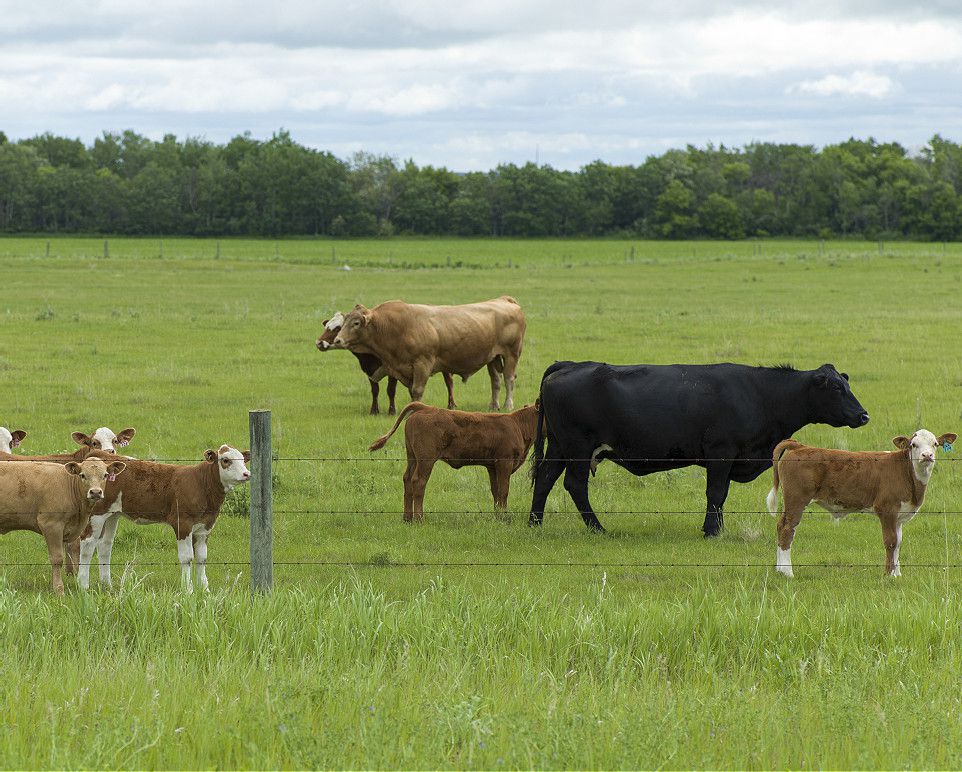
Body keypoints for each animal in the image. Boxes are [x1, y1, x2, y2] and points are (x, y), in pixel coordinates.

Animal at [0, 458, 126, 592]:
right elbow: (57, 558)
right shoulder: (51, 525)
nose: (96, 492)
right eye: (82, 475)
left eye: (105, 475)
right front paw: (58, 588)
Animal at [78, 446, 249, 592]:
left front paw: (204, 590)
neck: (200, 484)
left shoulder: (205, 526)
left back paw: (106, 585)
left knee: (104, 545)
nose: (247, 474)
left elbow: (202, 557)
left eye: (243, 459)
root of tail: (98, 454)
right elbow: (186, 557)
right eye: (226, 460)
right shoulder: (182, 523)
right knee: (88, 543)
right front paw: (188, 590)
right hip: (97, 513)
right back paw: (83, 586)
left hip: (112, 514)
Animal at [330, 296, 524, 414]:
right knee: (496, 381)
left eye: (356, 323)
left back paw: (507, 405)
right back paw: (493, 406)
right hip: (492, 358)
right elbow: (410, 391)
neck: (397, 328)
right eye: (344, 322)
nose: (338, 340)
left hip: (511, 354)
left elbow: (417, 390)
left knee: (508, 379)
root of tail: (505, 300)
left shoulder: (422, 364)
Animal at [528, 362, 868, 536]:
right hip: (577, 447)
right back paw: (597, 528)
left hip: (559, 446)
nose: (863, 415)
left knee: (544, 479)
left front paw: (717, 527)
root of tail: (571, 365)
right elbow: (715, 493)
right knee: (575, 485)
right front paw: (712, 530)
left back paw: (535, 523)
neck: (760, 394)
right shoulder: (721, 453)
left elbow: (720, 495)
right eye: (836, 388)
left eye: (847, 385)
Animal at [764, 432, 952, 576]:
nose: (927, 456)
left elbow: (898, 542)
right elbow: (890, 541)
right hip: (796, 500)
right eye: (913, 445)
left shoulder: (899, 516)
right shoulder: (887, 509)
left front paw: (897, 574)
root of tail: (800, 446)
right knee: (788, 529)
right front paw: (889, 574)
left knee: (780, 526)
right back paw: (788, 572)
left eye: (935, 444)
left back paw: (779, 570)